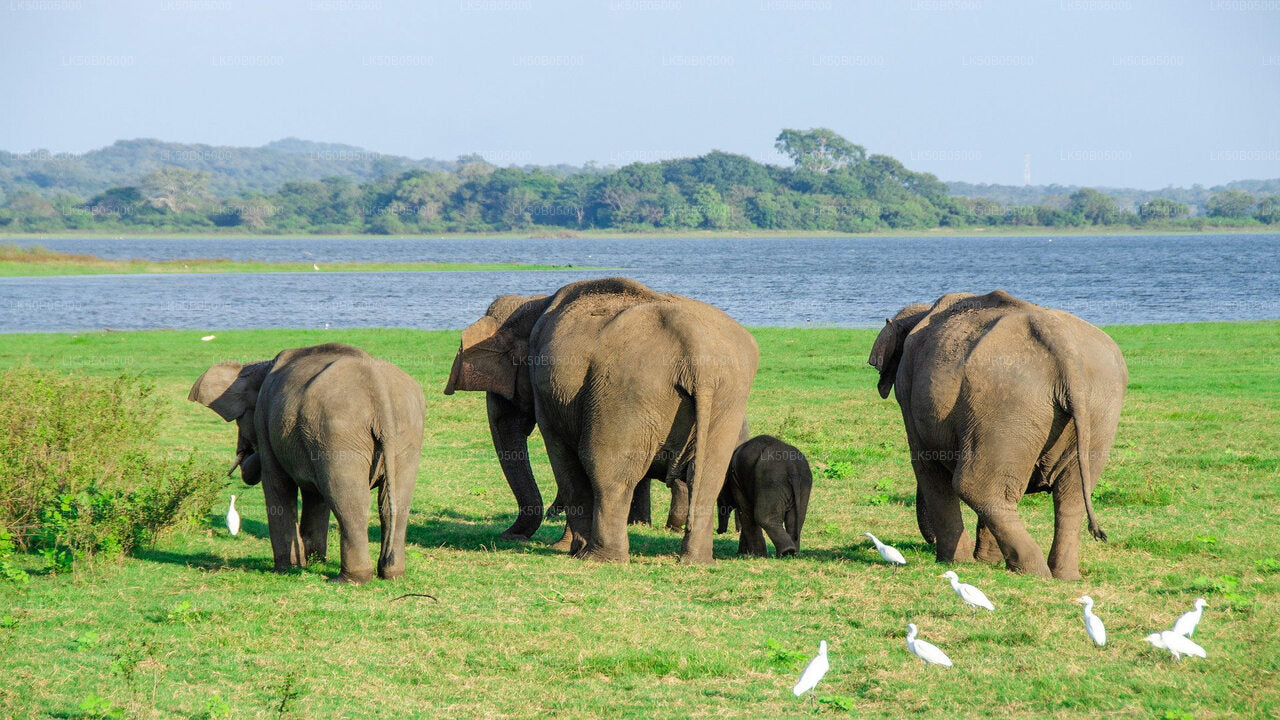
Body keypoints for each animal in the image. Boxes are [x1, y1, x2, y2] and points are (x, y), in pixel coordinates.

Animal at [189, 343, 425, 584]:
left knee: (349, 500)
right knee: (393, 502)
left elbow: (277, 484)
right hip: (405, 431)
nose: (246, 450)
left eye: (240, 419)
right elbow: (316, 496)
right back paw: (392, 574)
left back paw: (349, 579)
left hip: (338, 432)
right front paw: (314, 562)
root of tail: (379, 388)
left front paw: (287, 568)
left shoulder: (267, 420)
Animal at [444, 277, 759, 564]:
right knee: (707, 477)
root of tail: (694, 347)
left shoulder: (546, 392)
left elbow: (562, 457)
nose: (509, 536)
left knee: (605, 468)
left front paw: (567, 548)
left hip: (626, 391)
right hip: (726, 397)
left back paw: (598, 558)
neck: (534, 301)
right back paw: (695, 561)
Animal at [868, 290, 1127, 580]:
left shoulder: (908, 393)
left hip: (1006, 402)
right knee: (1070, 497)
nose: (928, 541)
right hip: (1097, 408)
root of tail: (1061, 344)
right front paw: (985, 561)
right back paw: (1063, 575)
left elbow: (926, 466)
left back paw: (1033, 572)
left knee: (976, 486)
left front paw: (956, 562)